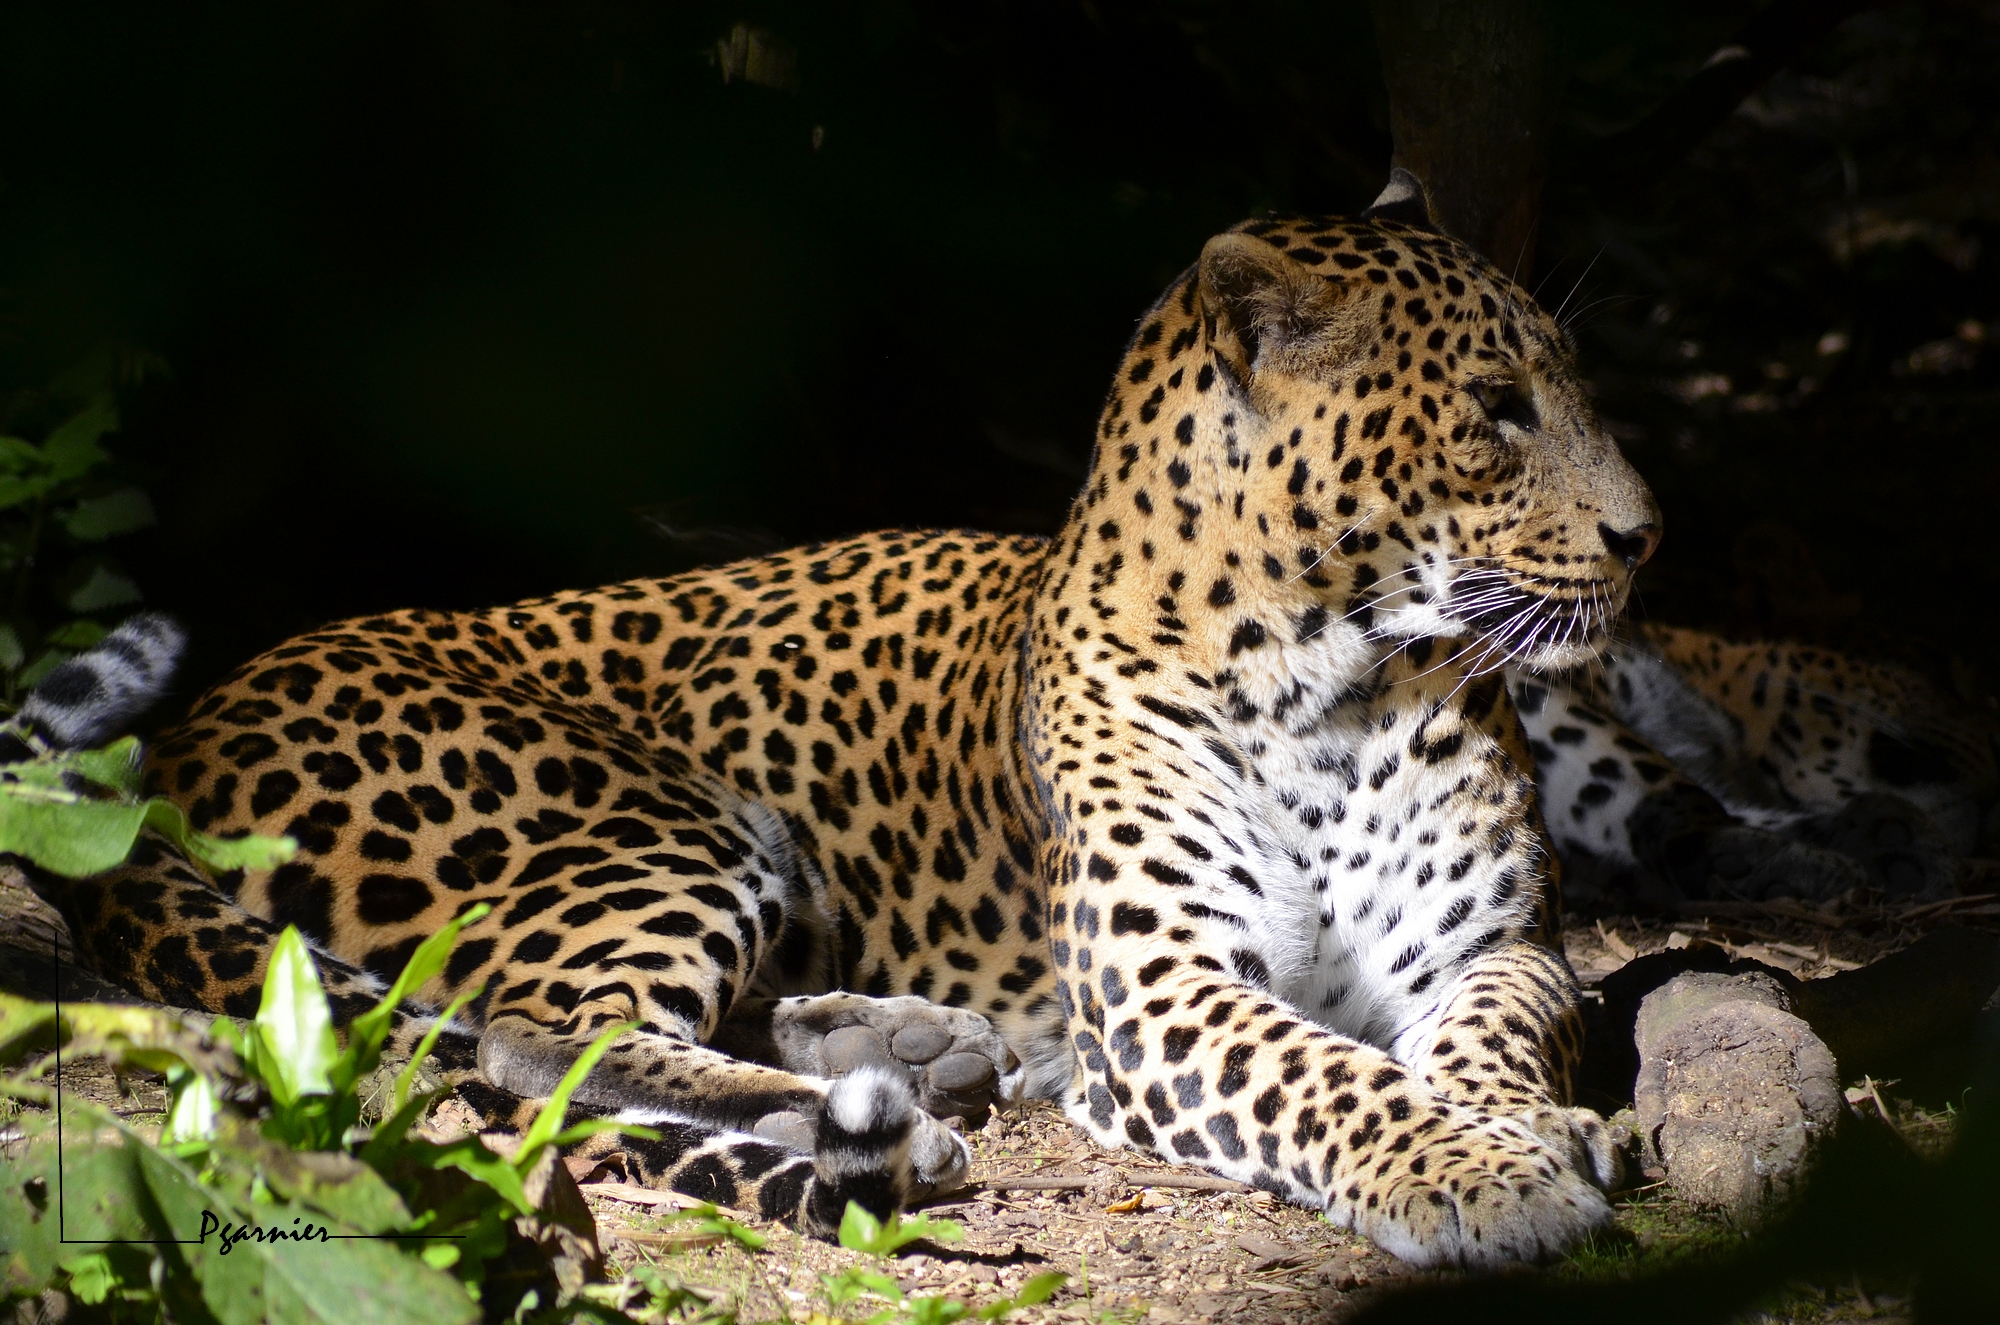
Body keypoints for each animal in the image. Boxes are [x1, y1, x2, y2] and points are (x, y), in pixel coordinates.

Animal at [27, 171, 1968, 1272]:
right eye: (1498, 406)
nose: (1649, 539)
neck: (1340, 671)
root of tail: (185, 739)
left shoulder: (1490, 947)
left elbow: (1487, 1036)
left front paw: (1517, 1128)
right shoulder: (1175, 994)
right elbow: (1331, 1076)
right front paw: (1474, 1176)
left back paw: (916, 1052)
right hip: (657, 815)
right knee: (530, 1043)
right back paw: (872, 1127)